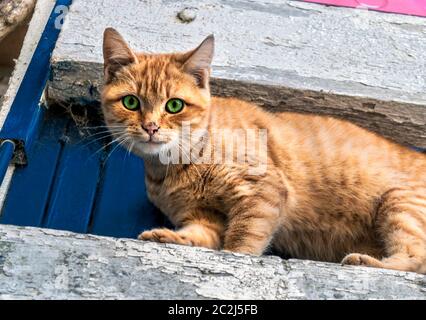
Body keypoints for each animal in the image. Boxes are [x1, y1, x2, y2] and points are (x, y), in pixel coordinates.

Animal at [101, 27, 424, 274]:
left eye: (174, 105)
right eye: (131, 102)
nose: (151, 127)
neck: (173, 166)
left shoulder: (261, 191)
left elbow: (242, 242)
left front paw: (235, 259)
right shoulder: (203, 216)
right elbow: (197, 236)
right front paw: (166, 237)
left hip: (400, 206)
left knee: (415, 260)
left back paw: (366, 262)